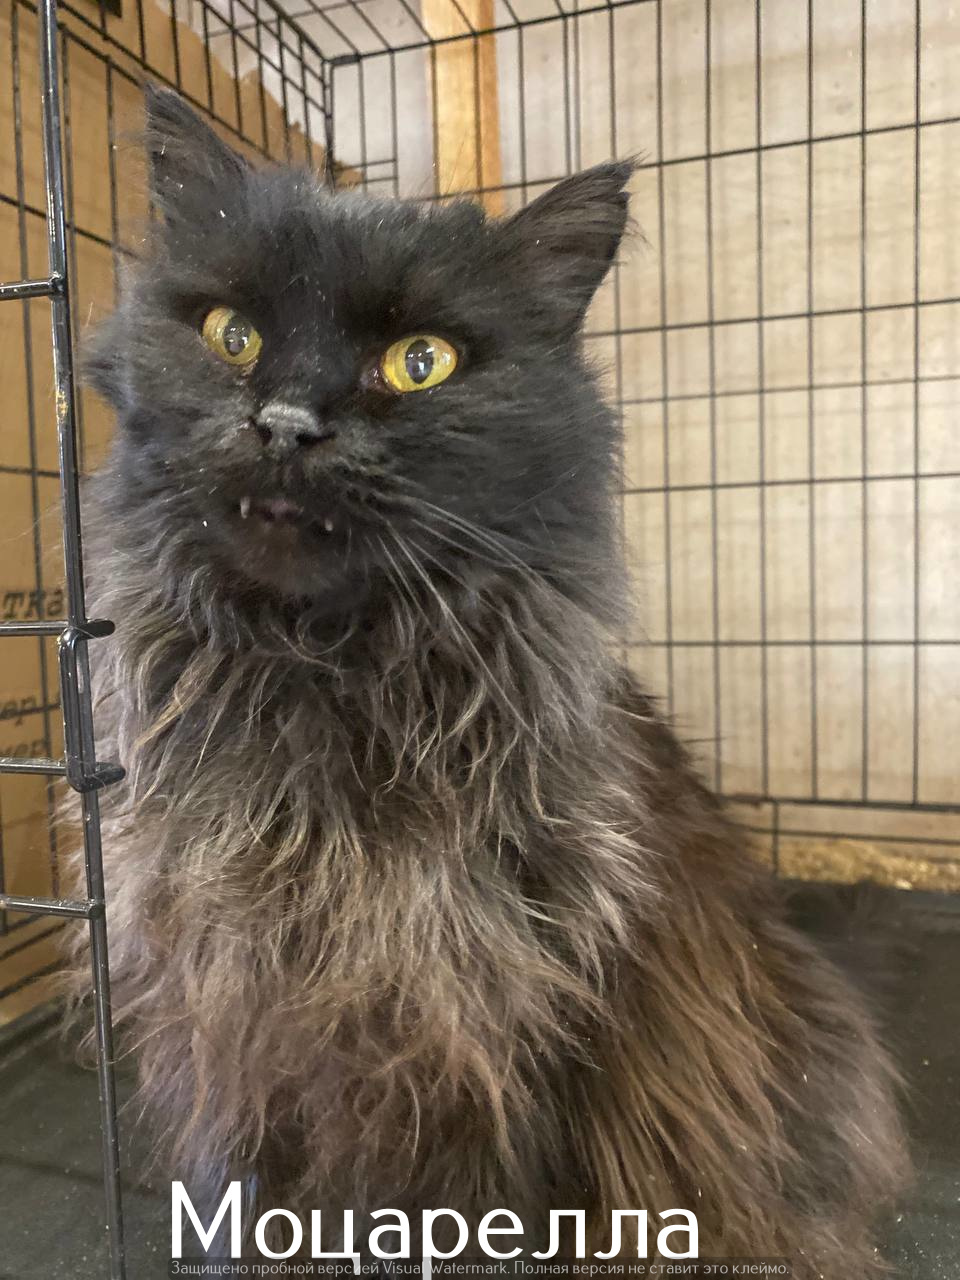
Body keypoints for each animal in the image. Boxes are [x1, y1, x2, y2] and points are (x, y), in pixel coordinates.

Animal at [70, 84, 907, 1272]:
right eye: (232, 336)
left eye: (421, 362)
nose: (284, 425)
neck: (322, 678)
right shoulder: (230, 1008)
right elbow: (256, 1185)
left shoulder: (487, 1031)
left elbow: (468, 1207)